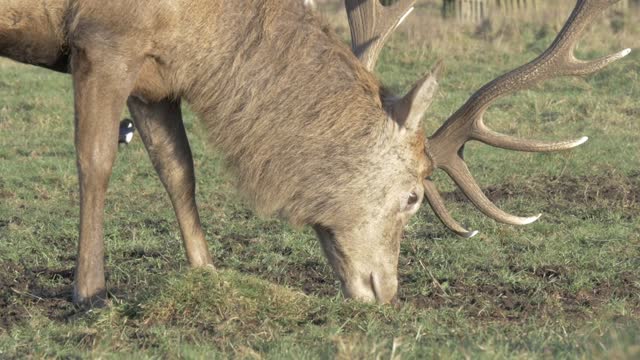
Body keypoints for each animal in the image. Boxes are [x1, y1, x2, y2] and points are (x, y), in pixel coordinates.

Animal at [0, 0, 632, 306]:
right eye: (412, 197)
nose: (387, 293)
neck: (202, 23)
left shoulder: (157, 74)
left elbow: (178, 168)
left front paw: (208, 272)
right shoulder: (104, 39)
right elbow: (96, 162)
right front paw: (89, 291)